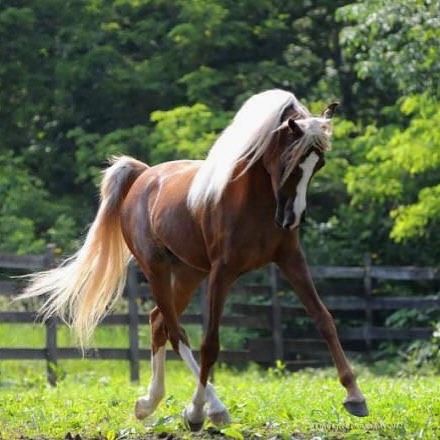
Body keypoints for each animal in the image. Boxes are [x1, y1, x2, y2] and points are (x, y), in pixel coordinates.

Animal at [22, 88, 370, 430]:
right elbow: (210, 342)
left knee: (158, 322)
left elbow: (324, 320)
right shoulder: (222, 271)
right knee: (175, 331)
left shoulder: (290, 260)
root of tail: (144, 176)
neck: (252, 200)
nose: (291, 218)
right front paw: (198, 411)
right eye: (290, 159)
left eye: (318, 164)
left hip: (189, 273)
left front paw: (355, 396)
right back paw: (208, 409)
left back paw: (149, 403)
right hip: (157, 269)